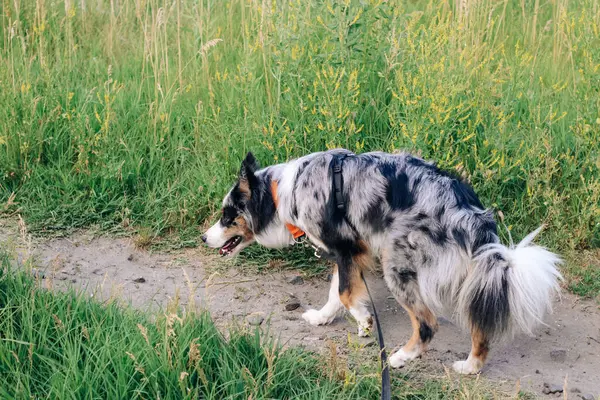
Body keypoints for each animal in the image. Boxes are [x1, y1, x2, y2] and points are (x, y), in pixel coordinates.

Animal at [203, 148, 564, 374]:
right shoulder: (348, 251)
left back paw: (401, 357)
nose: (204, 238)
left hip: (398, 264)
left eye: (227, 215)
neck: (280, 192)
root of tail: (466, 207)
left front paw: (364, 322)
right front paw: (322, 317)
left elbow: (345, 292)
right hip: (469, 271)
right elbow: (336, 292)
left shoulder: (346, 246)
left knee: (427, 323)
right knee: (480, 317)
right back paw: (470, 366)